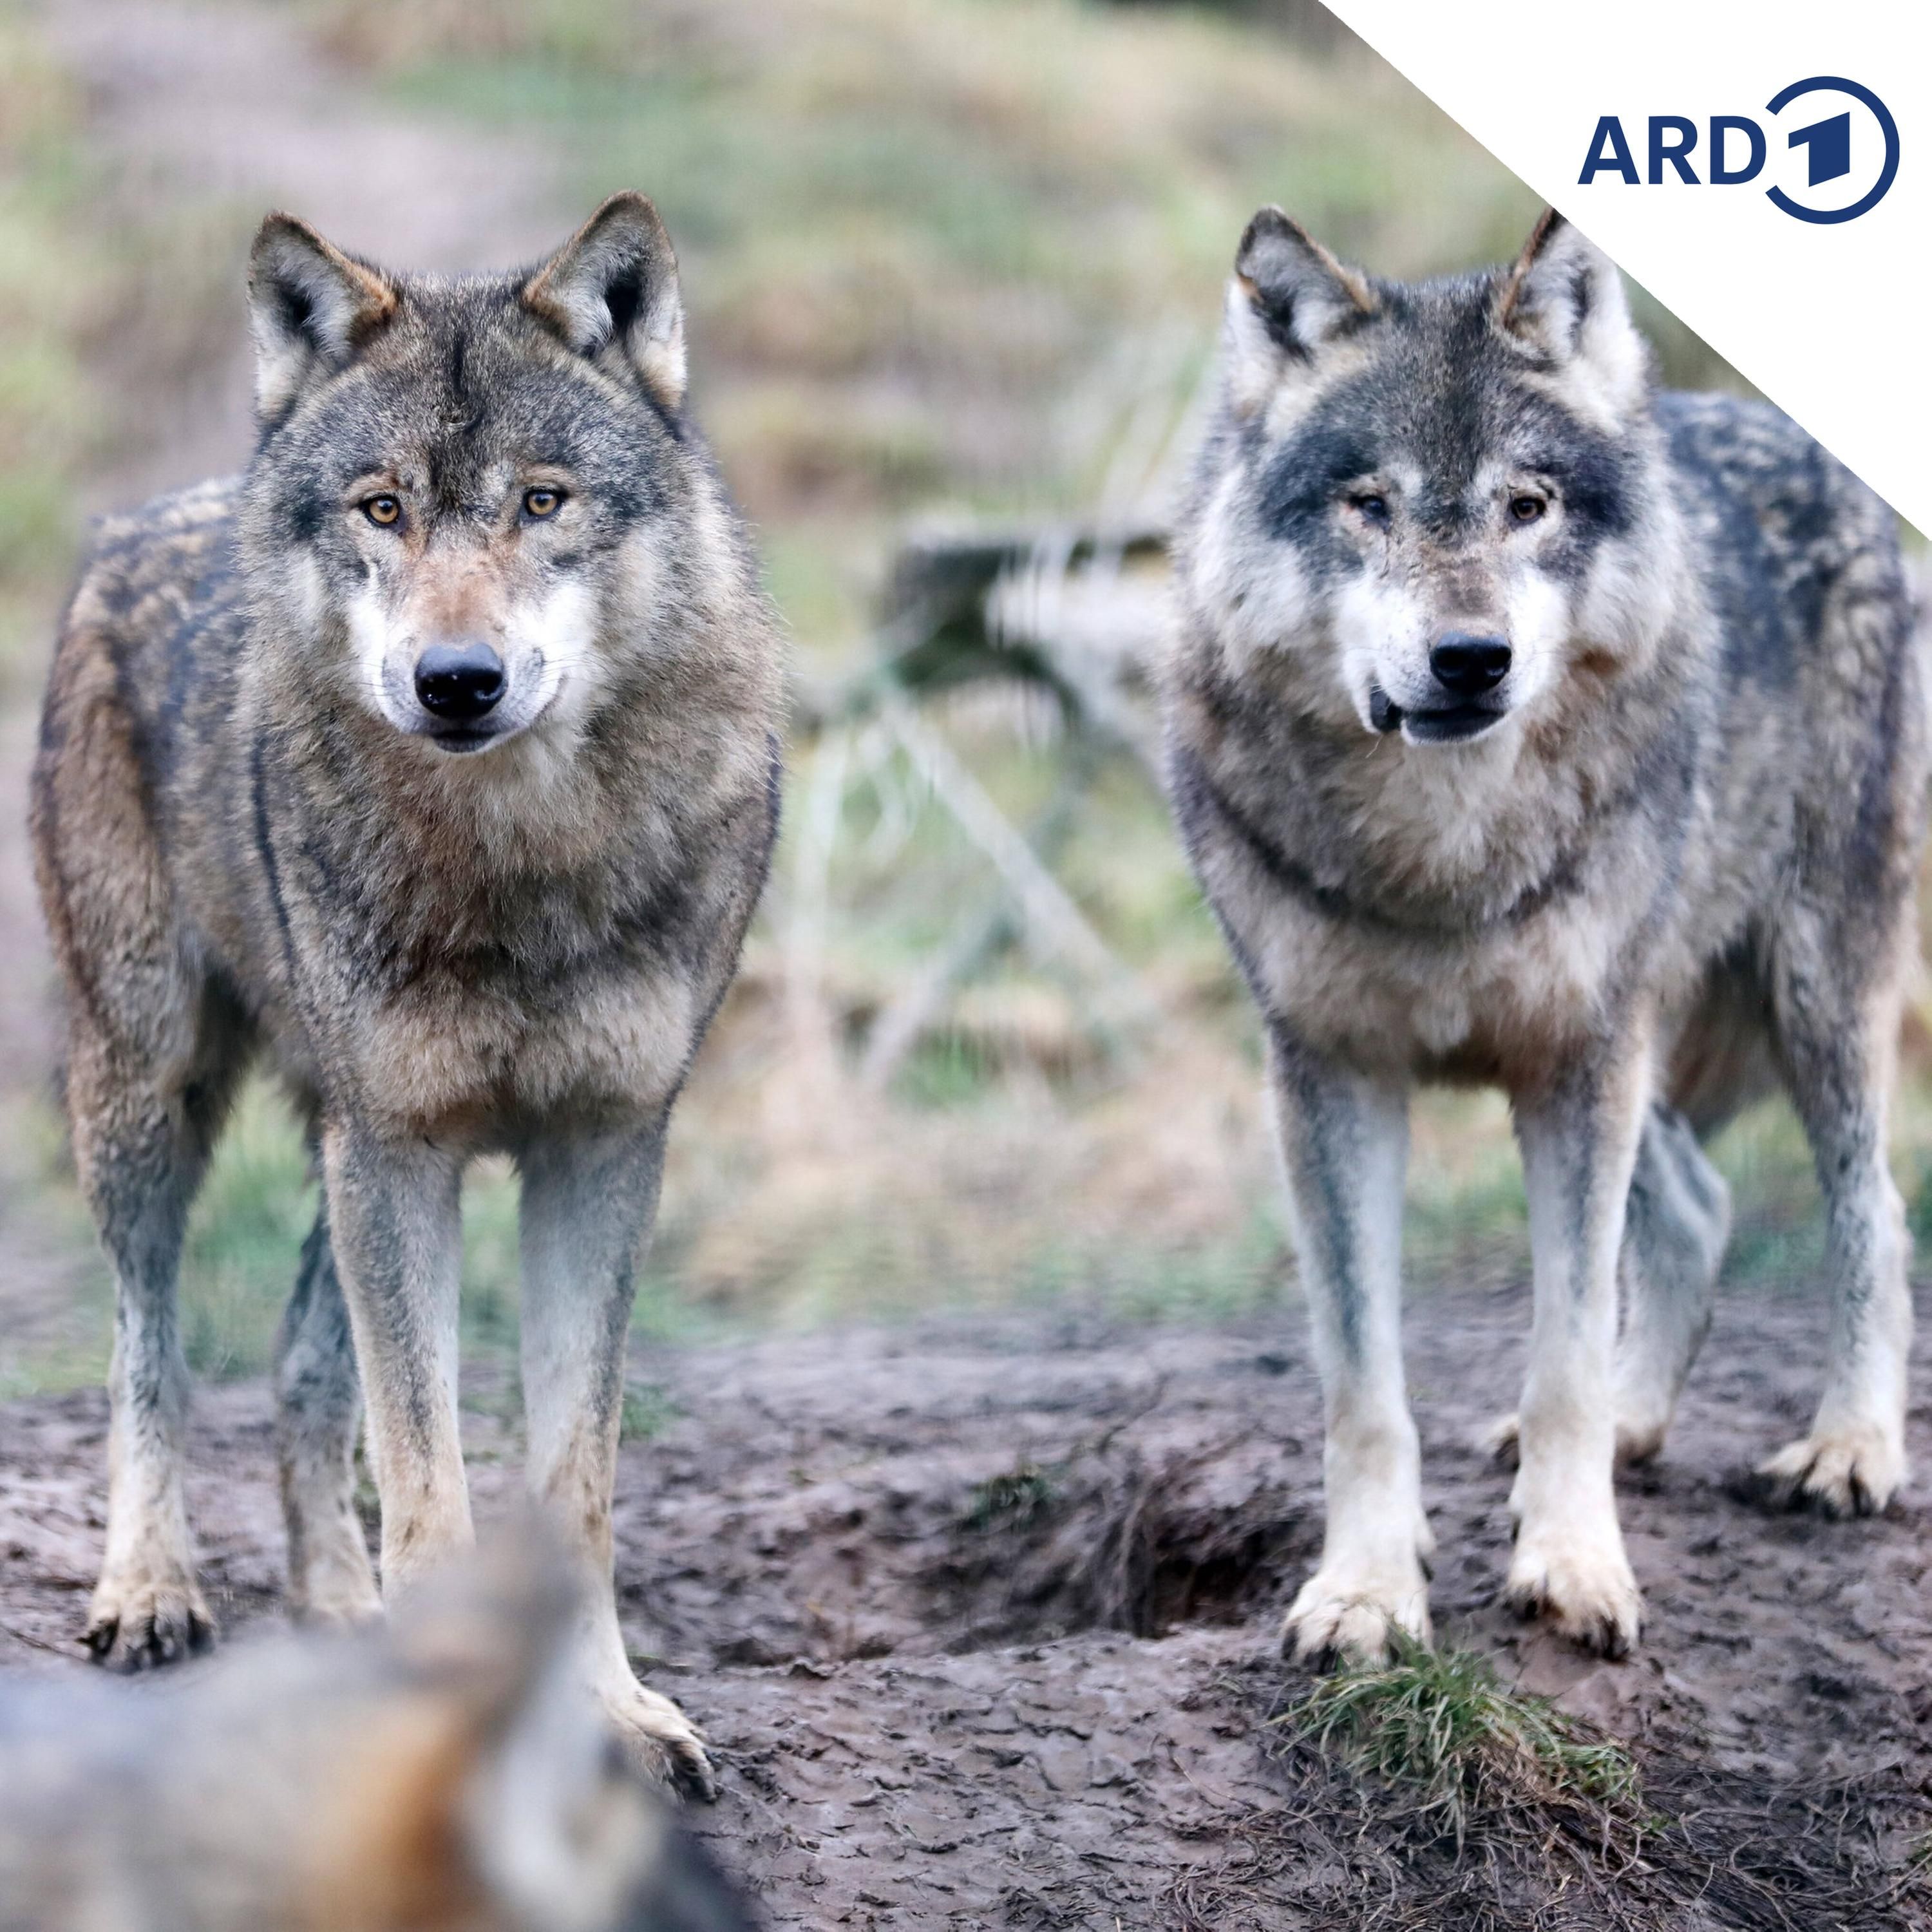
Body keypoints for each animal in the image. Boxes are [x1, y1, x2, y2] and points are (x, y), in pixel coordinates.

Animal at [32, 194, 784, 1792]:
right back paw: (151, 1590)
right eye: (381, 510)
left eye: (543, 503)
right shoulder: (404, 1151)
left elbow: (570, 1487)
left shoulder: (598, 1152)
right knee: (150, 1350)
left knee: (301, 1370)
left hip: (335, 1136)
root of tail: (148, 517)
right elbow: (431, 1482)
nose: (456, 680)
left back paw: (336, 1615)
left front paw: (615, 1713)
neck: (520, 865)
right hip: (154, 1097)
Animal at [1163, 206, 1924, 1662]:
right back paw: (1640, 1425)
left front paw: (1573, 1569)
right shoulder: (1332, 1074)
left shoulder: (1580, 1061)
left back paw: (1850, 1451)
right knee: (1701, 1209)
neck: (1444, 860)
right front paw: (1365, 1591)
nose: (1472, 658)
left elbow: (1565, 1350)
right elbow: (1363, 1387)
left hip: (1807, 985)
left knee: (1874, 1205)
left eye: (1529, 505)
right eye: (1371, 504)